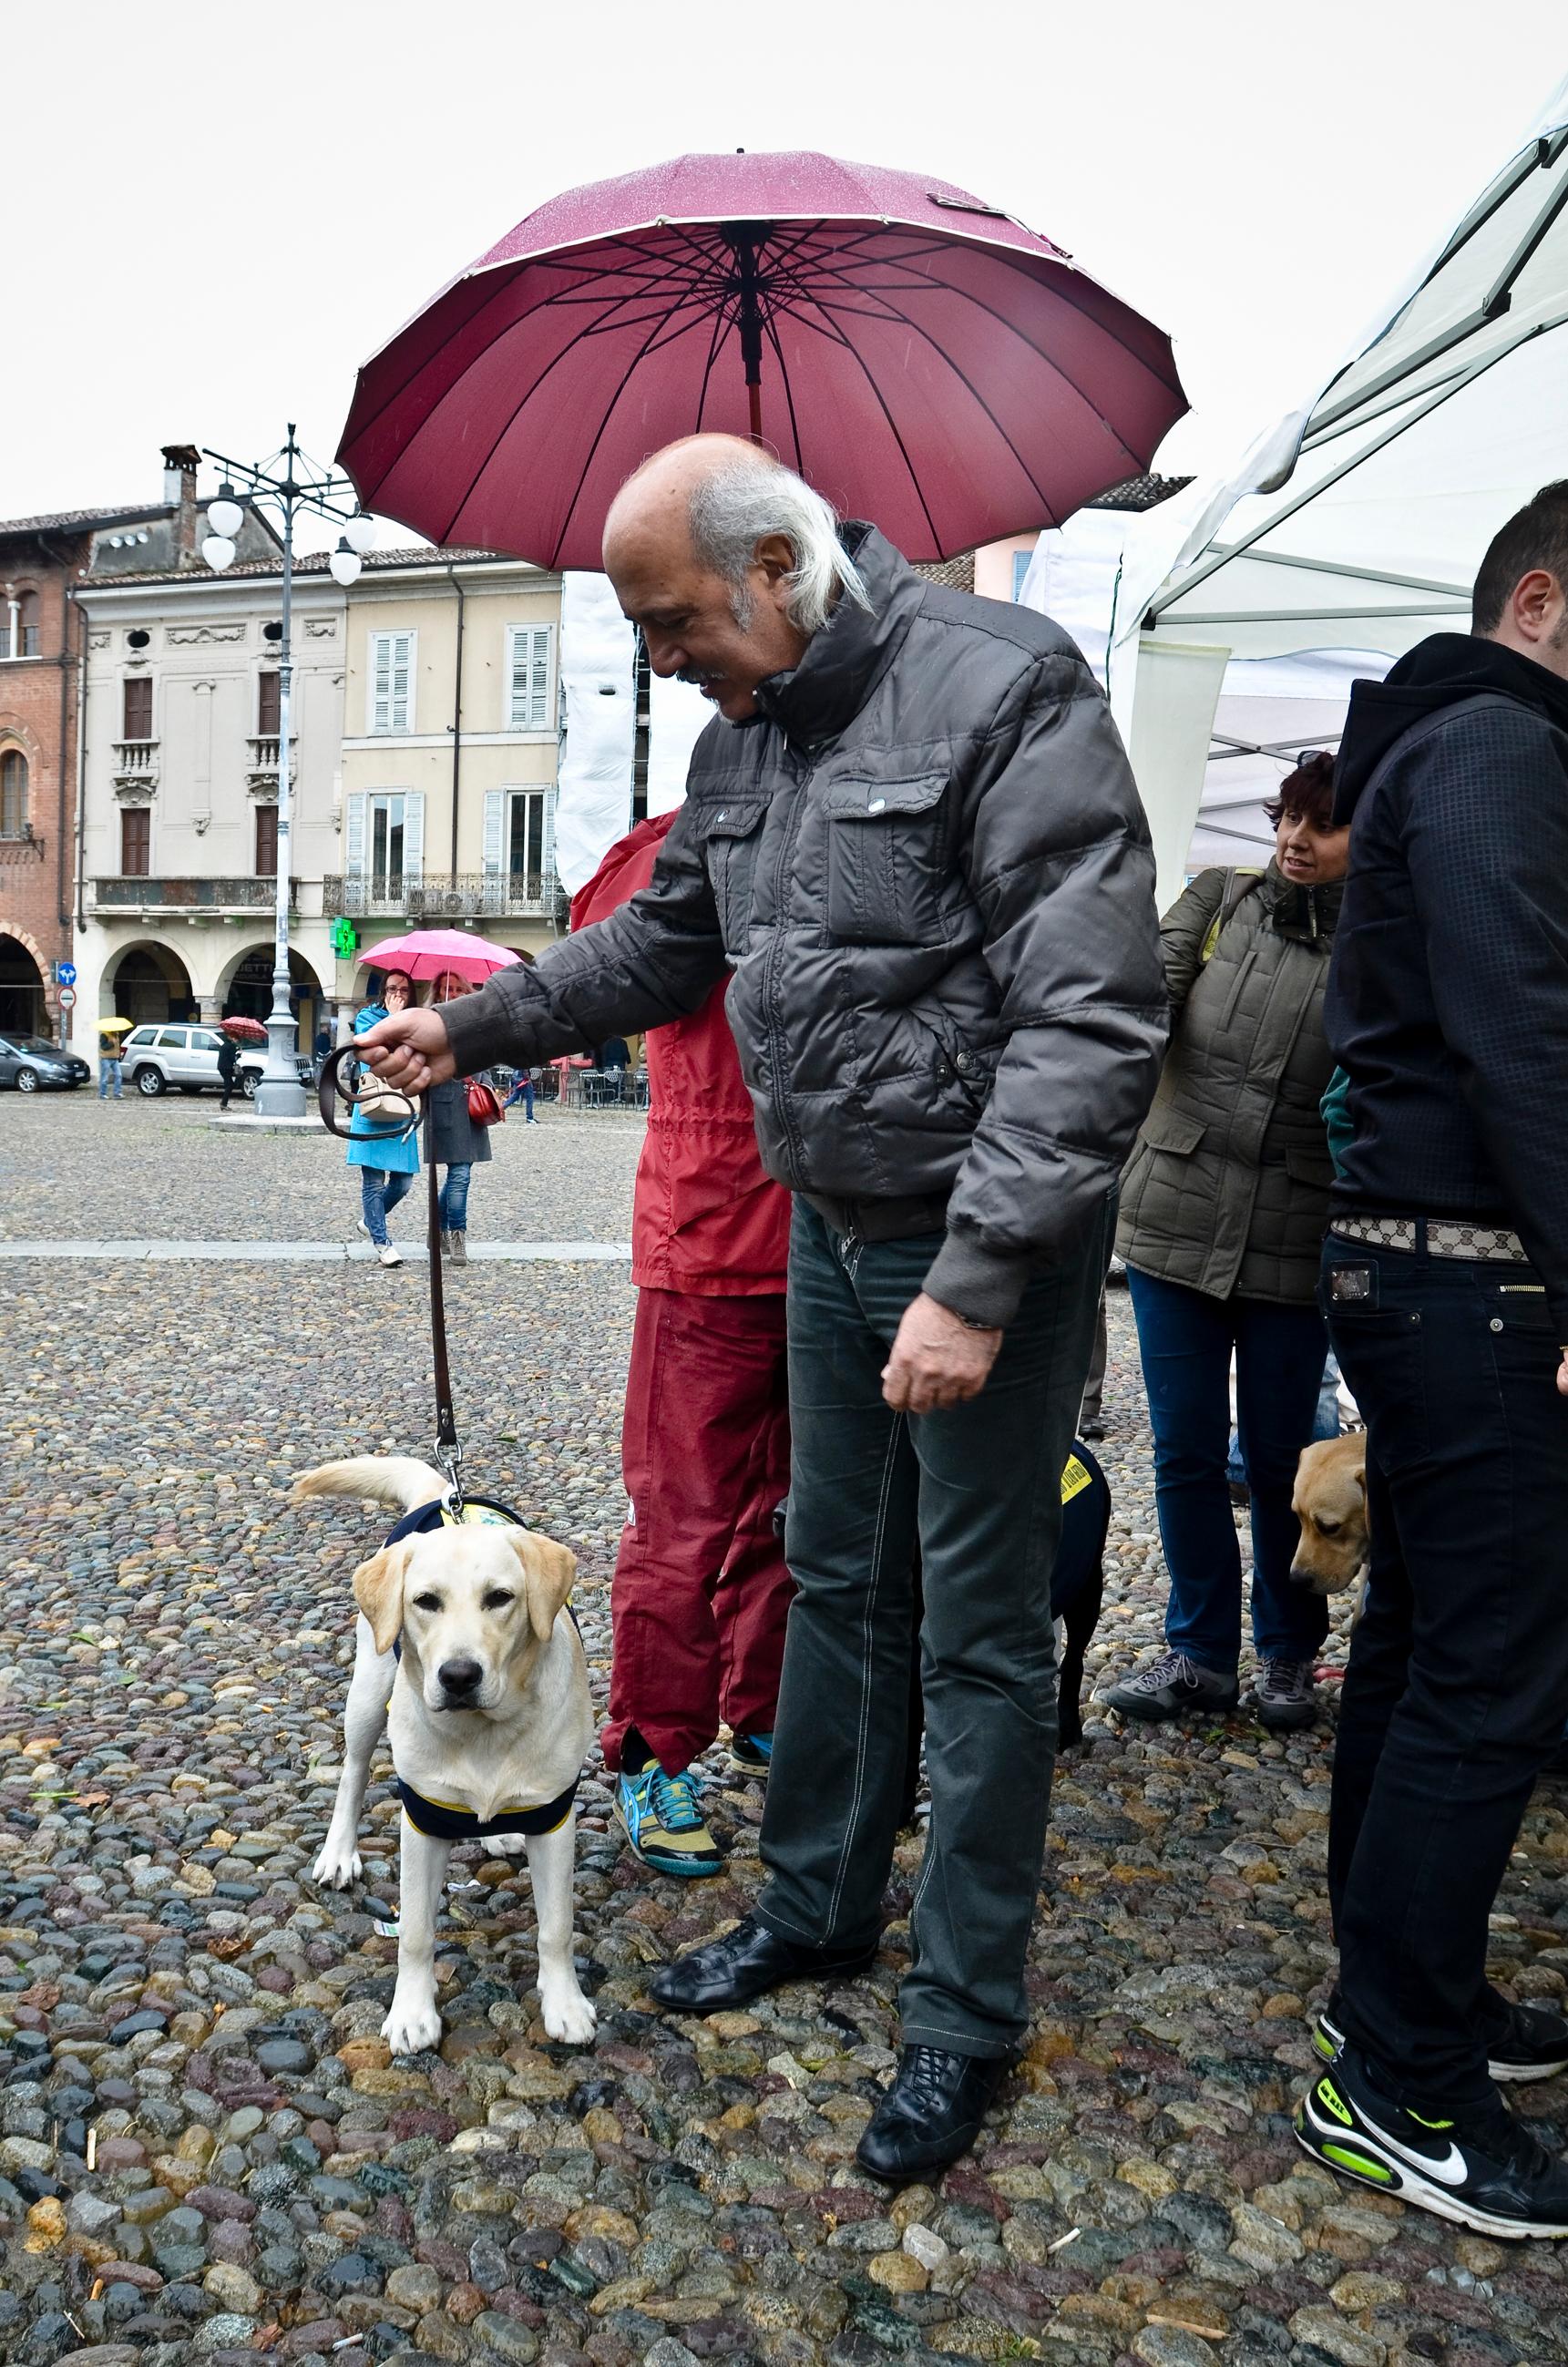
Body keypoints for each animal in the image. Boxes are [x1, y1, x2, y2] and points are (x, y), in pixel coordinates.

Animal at [290, 1439, 597, 2054]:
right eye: (426, 1602)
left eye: (501, 1598)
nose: (458, 1676)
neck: (484, 1731)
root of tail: (443, 1497)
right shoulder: (423, 1819)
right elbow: (414, 1931)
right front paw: (411, 2013)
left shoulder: (554, 1817)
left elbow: (556, 1927)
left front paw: (565, 2005)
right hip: (368, 1689)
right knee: (353, 1771)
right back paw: (339, 1852)